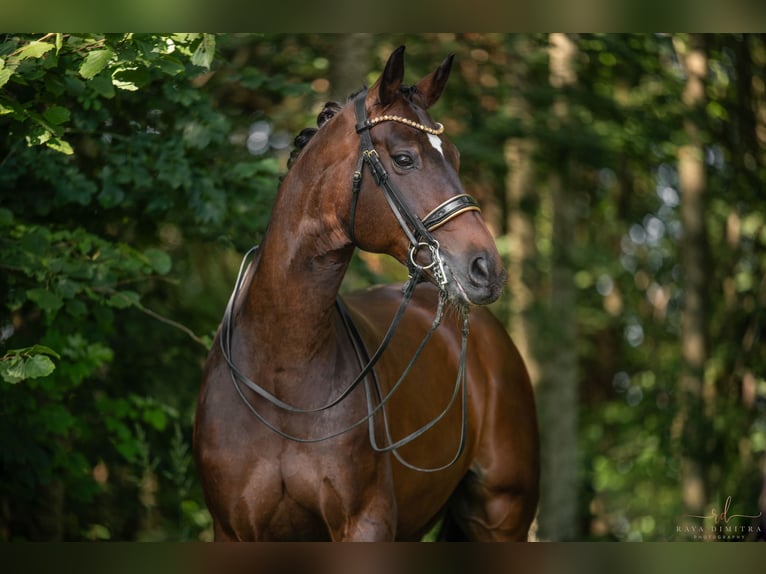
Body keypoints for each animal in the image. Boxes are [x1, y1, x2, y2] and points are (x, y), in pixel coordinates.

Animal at [192, 46, 540, 544]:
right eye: (404, 158)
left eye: (453, 156)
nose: (486, 269)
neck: (280, 370)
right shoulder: (233, 531)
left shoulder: (365, 524)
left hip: (501, 518)